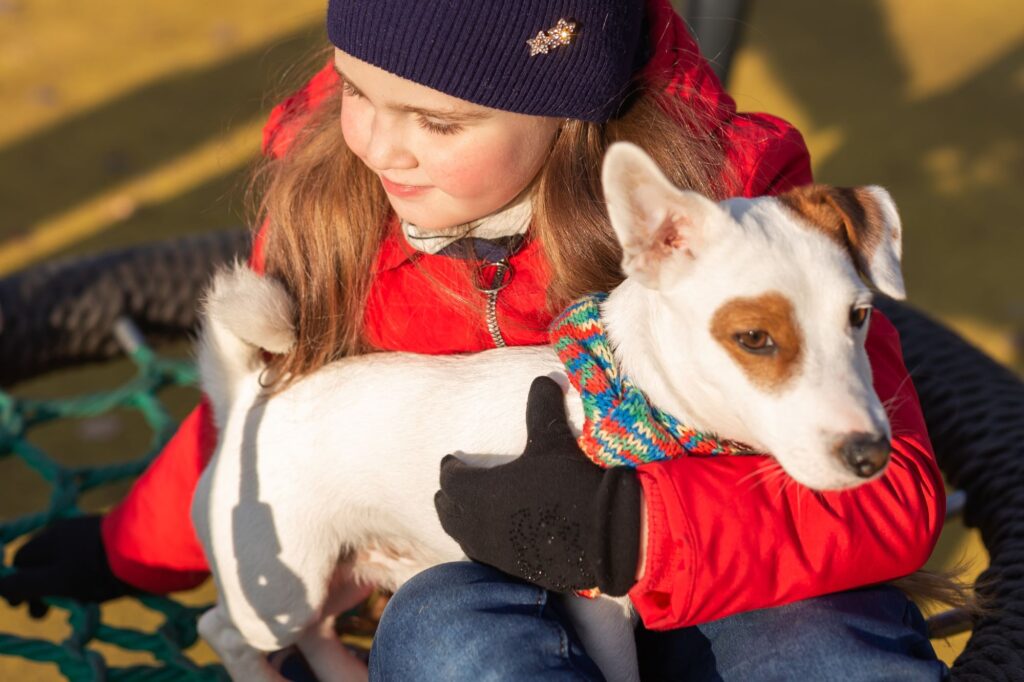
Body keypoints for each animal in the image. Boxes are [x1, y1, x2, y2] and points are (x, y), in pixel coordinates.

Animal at [190, 140, 905, 675]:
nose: (871, 454)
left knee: (315, 631)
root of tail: (247, 397)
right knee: (224, 629)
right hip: (282, 582)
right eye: (754, 338)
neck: (630, 393)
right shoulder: (600, 606)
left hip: (341, 570)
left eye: (859, 316)